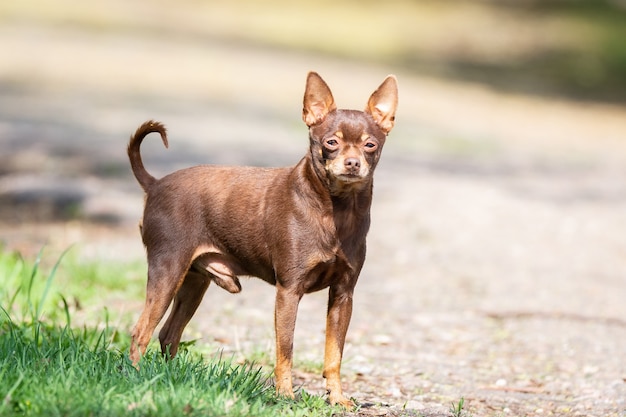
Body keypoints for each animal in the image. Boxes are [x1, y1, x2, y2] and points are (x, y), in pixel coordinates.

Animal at [128, 71, 394, 406]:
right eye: (331, 143)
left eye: (370, 145)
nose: (352, 163)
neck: (338, 210)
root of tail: (155, 184)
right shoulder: (289, 291)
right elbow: (286, 349)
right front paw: (285, 395)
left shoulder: (343, 294)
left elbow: (334, 354)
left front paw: (336, 398)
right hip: (168, 271)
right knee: (140, 332)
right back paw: (136, 378)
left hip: (193, 282)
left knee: (168, 334)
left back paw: (171, 380)